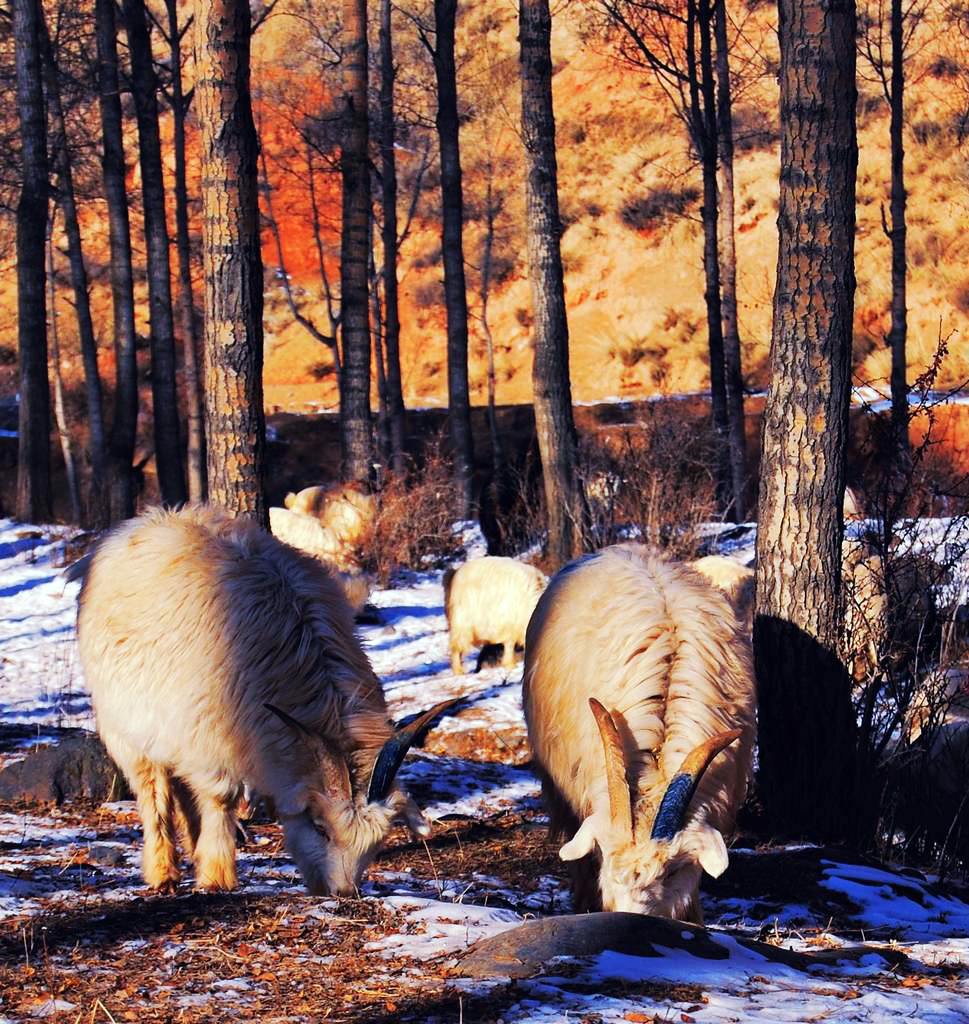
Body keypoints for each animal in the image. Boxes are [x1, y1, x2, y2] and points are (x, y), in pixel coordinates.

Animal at [70, 509, 448, 897]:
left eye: (375, 844)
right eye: (320, 827)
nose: (342, 892)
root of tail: (137, 525)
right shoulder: (209, 737)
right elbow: (221, 797)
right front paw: (217, 876)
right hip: (127, 726)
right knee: (153, 792)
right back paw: (164, 872)